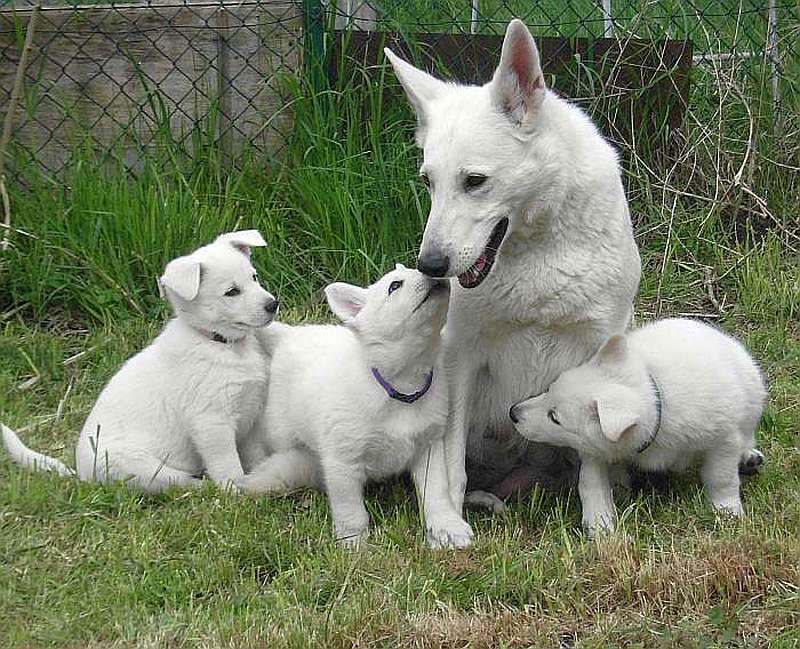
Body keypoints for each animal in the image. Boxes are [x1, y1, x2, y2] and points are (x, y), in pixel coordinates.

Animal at [2, 232, 278, 492]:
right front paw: (237, 490)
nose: (273, 304)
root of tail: (81, 475)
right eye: (231, 292)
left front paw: (262, 474)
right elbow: (227, 464)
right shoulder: (212, 422)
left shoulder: (251, 415)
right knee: (179, 482)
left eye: (254, 277)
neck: (220, 343)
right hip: (144, 467)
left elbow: (255, 454)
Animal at [238, 264, 476, 548]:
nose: (433, 271)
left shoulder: (429, 448)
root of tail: (291, 334)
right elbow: (352, 511)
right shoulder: (343, 461)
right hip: (281, 434)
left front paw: (448, 527)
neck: (399, 385)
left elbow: (436, 494)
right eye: (395, 286)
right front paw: (355, 545)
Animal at [384, 20, 640, 512]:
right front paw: (452, 515)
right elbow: (453, 466)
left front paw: (600, 520)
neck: (538, 249)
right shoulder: (460, 356)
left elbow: (592, 466)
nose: (430, 265)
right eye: (428, 182)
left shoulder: (596, 349)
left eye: (474, 181)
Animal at [510, 316, 764, 536]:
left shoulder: (724, 440)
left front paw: (727, 511)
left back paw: (748, 456)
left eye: (554, 417)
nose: (513, 412)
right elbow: (592, 482)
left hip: (752, 398)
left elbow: (721, 477)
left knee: (746, 436)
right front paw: (601, 523)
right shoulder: (596, 451)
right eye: (549, 390)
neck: (656, 399)